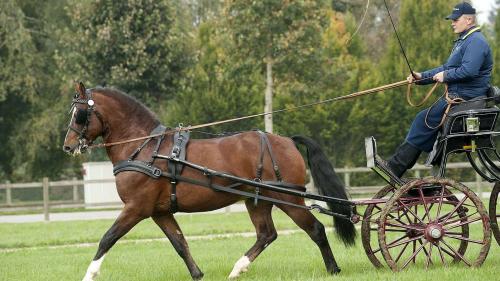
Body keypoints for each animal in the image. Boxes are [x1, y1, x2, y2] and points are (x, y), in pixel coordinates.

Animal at [63, 82, 356, 280]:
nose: (67, 146)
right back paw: (238, 268)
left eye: (79, 114)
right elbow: (180, 243)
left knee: (316, 229)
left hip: (288, 197)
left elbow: (107, 238)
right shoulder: (159, 212)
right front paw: (197, 274)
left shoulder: (136, 208)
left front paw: (89, 274)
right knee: (266, 234)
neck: (144, 148)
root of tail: (286, 140)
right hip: (257, 200)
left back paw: (333, 269)